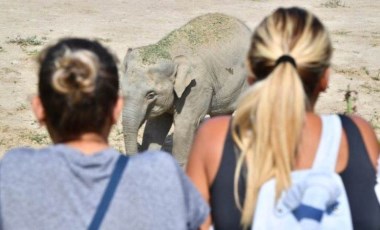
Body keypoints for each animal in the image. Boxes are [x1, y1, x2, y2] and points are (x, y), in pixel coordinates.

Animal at [122, 12, 252, 165]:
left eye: (151, 94)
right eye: (122, 90)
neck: (169, 51)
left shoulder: (196, 86)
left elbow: (184, 126)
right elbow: (154, 128)